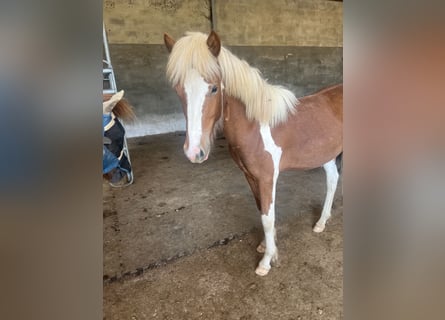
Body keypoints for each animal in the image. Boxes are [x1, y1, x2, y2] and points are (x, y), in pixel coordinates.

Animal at [164, 30, 344, 276]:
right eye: (178, 89)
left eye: (214, 88)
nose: (194, 152)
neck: (256, 125)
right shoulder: (250, 176)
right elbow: (261, 210)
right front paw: (266, 246)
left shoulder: (267, 178)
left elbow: (268, 217)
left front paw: (266, 262)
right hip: (326, 155)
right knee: (333, 180)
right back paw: (321, 223)